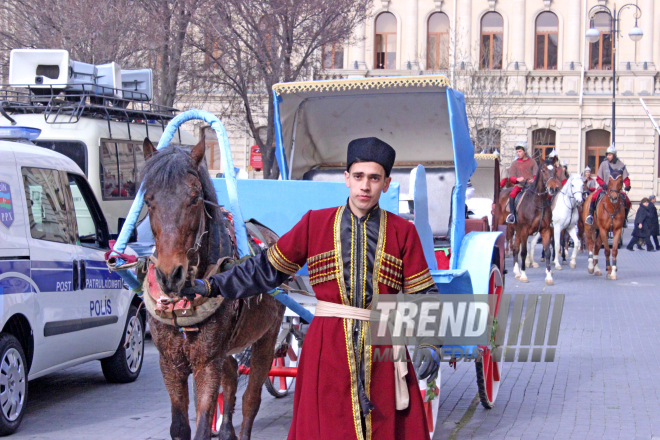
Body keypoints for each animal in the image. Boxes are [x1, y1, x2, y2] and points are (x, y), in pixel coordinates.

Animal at [139, 138, 284, 440]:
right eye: (148, 200)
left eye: (194, 198)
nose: (170, 275)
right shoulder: (170, 363)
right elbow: (180, 427)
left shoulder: (206, 362)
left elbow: (204, 426)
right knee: (230, 382)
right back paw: (227, 430)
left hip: (267, 336)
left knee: (251, 400)